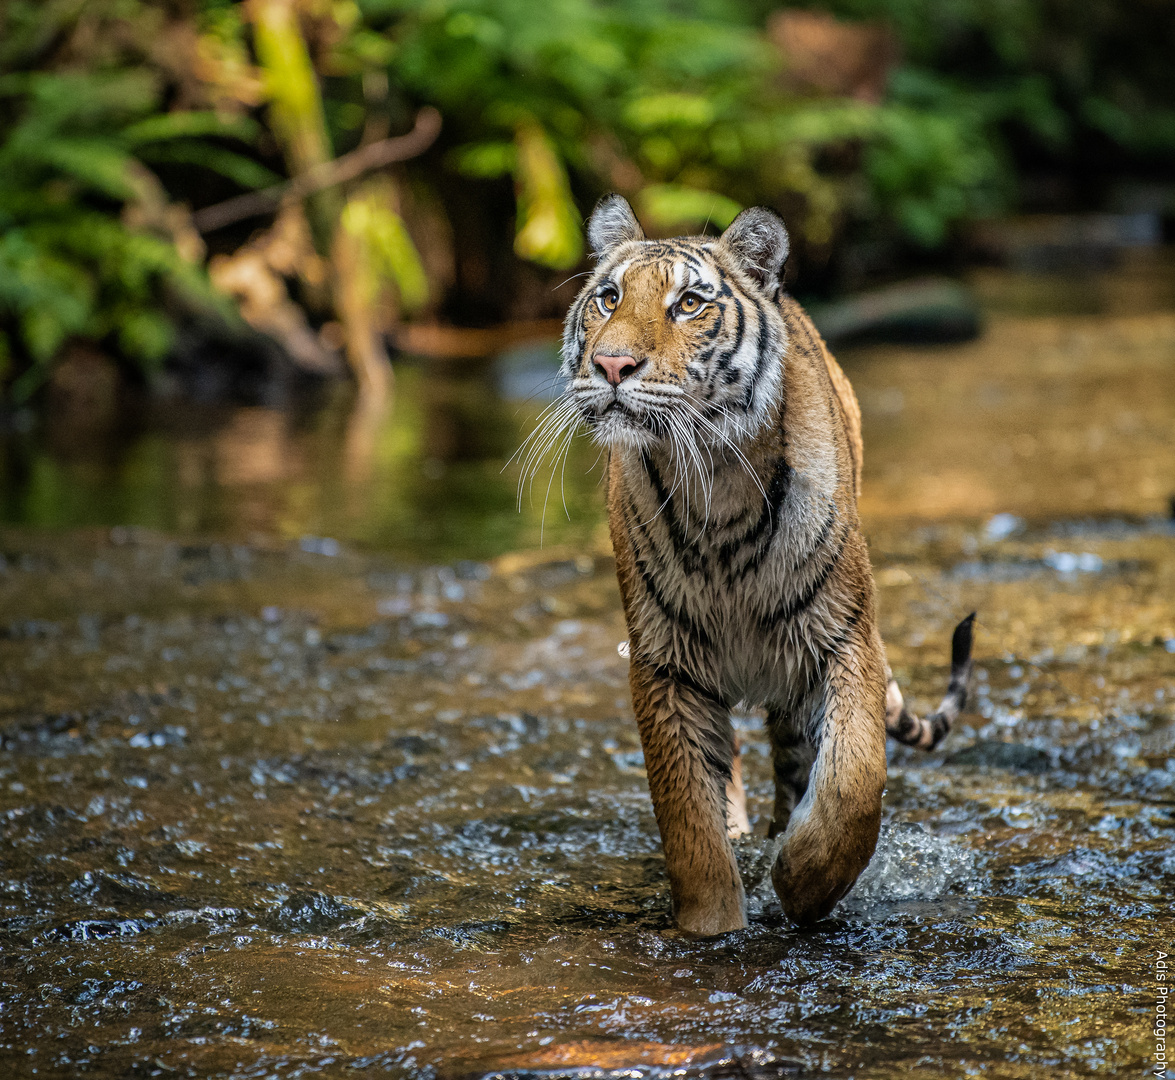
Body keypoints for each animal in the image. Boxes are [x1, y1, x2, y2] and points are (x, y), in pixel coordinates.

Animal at [531, 193, 972, 935]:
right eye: (608, 298)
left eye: (688, 303)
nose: (612, 365)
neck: (715, 483)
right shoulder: (665, 664)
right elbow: (689, 823)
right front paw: (714, 926)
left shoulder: (842, 638)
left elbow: (853, 784)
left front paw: (800, 882)